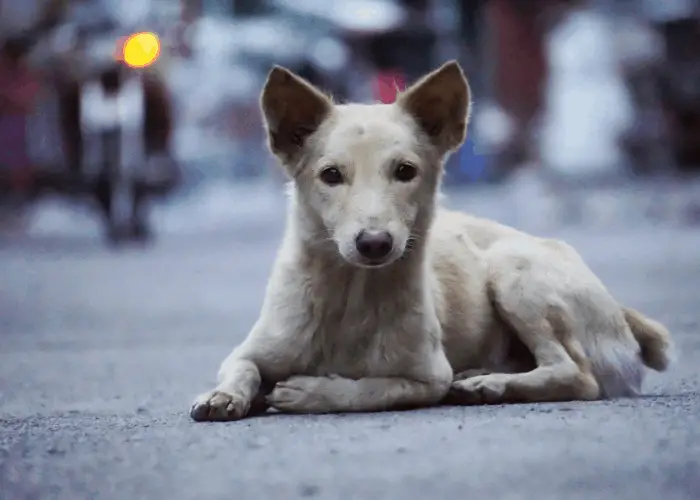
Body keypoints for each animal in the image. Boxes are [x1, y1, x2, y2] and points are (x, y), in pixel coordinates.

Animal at [189, 59, 668, 422]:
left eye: (405, 171)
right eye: (331, 175)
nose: (375, 243)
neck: (350, 300)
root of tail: (620, 312)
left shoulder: (428, 376)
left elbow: (372, 390)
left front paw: (314, 393)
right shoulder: (249, 351)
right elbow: (242, 371)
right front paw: (223, 395)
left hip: (513, 267)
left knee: (575, 374)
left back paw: (488, 384)